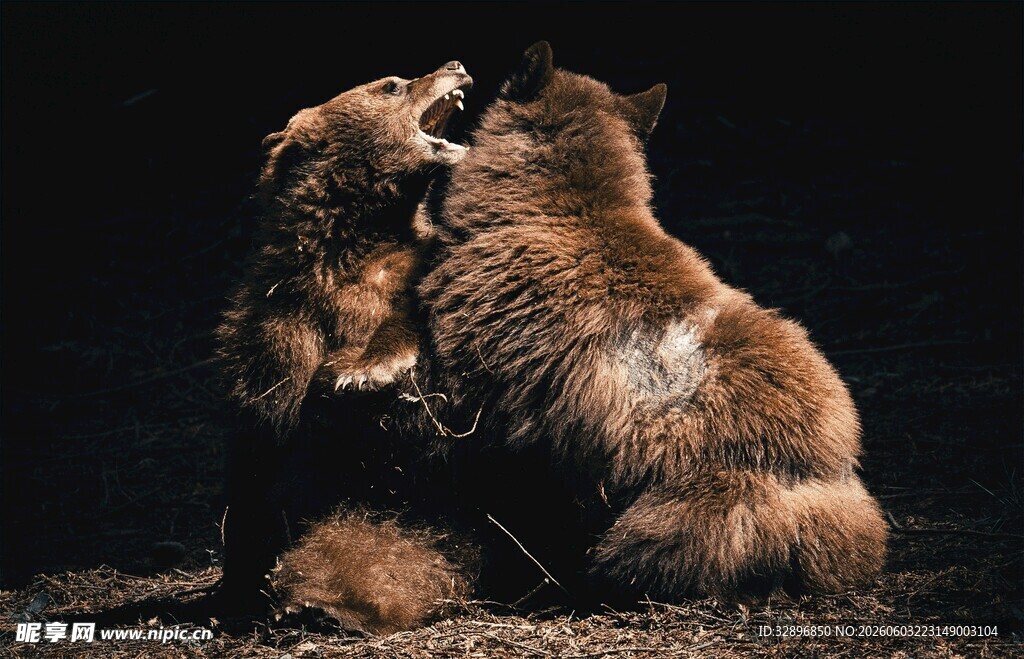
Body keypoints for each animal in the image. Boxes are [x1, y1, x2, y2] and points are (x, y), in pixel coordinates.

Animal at [214, 60, 472, 606]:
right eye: (393, 85)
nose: (456, 65)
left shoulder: (413, 270)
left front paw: (363, 371)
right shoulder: (278, 327)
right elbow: (261, 444)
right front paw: (242, 577)